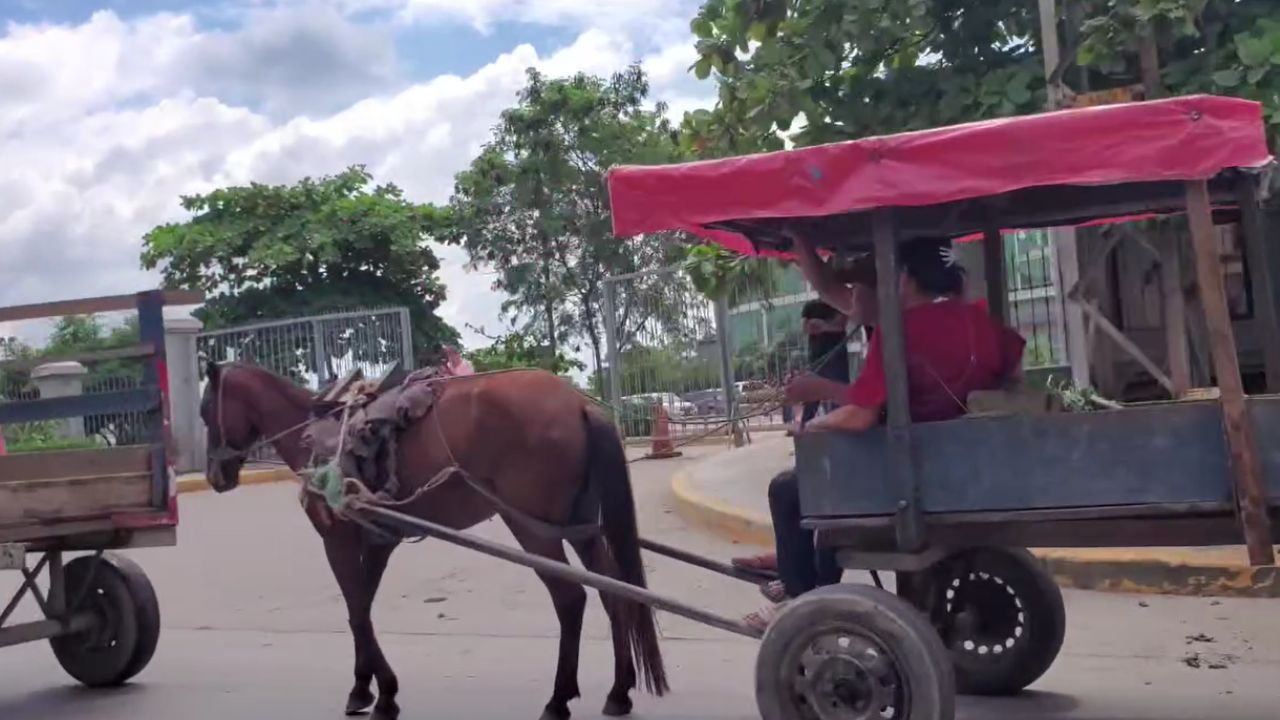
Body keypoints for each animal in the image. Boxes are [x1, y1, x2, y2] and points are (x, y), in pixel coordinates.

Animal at [197, 361, 670, 712]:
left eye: (204, 412)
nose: (215, 475)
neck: (317, 436)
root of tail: (576, 404)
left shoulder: (338, 540)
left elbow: (355, 611)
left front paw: (378, 692)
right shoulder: (379, 541)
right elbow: (363, 608)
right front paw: (369, 687)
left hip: (532, 526)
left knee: (570, 599)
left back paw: (558, 699)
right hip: (578, 525)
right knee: (614, 593)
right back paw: (618, 691)